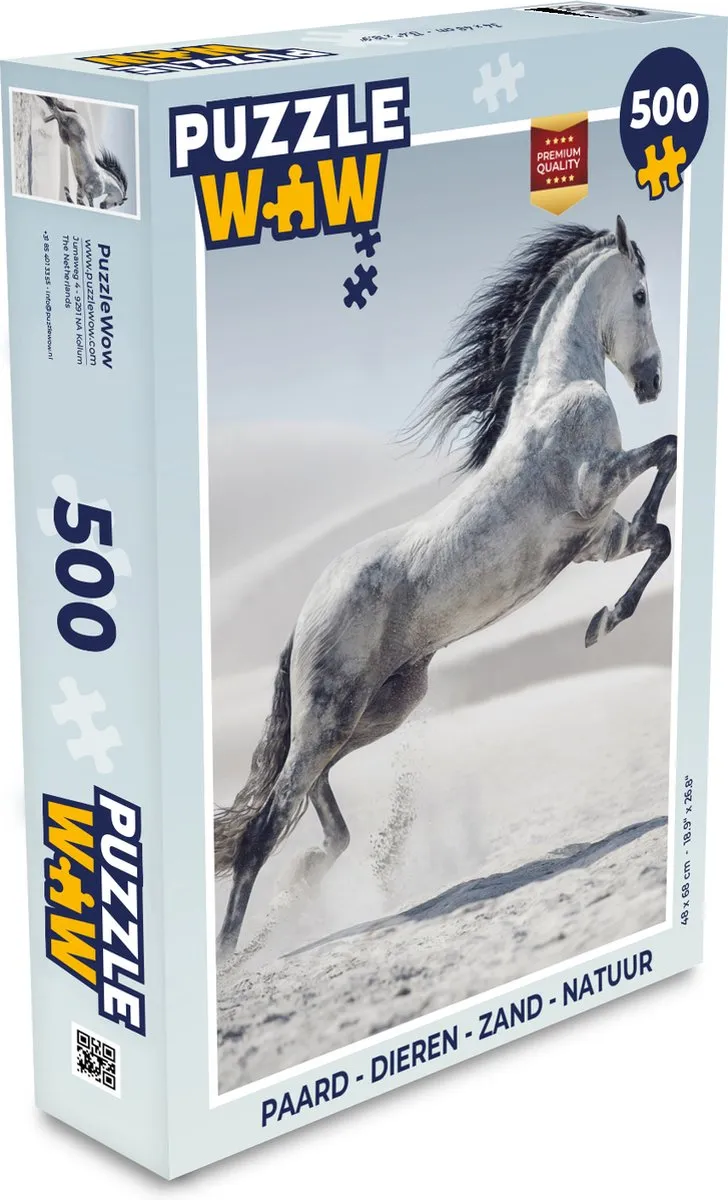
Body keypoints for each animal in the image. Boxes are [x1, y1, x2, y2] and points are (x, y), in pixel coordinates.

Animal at [215, 215, 676, 958]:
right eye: (640, 294)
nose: (655, 380)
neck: (556, 392)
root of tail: (301, 617)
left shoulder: (596, 539)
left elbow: (657, 535)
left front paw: (601, 621)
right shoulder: (596, 485)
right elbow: (669, 451)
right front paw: (605, 619)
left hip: (378, 711)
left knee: (312, 801)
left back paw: (310, 875)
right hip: (333, 716)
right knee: (265, 826)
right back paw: (233, 957)